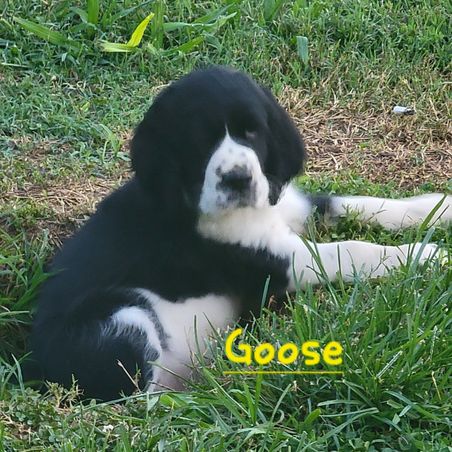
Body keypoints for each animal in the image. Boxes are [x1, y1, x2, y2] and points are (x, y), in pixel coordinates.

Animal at [29, 66, 451, 401]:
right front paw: (427, 256)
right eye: (200, 141)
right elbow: (350, 250)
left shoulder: (290, 205)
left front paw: (439, 207)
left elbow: (357, 203)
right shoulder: (279, 263)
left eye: (252, 132)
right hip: (123, 320)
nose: (237, 179)